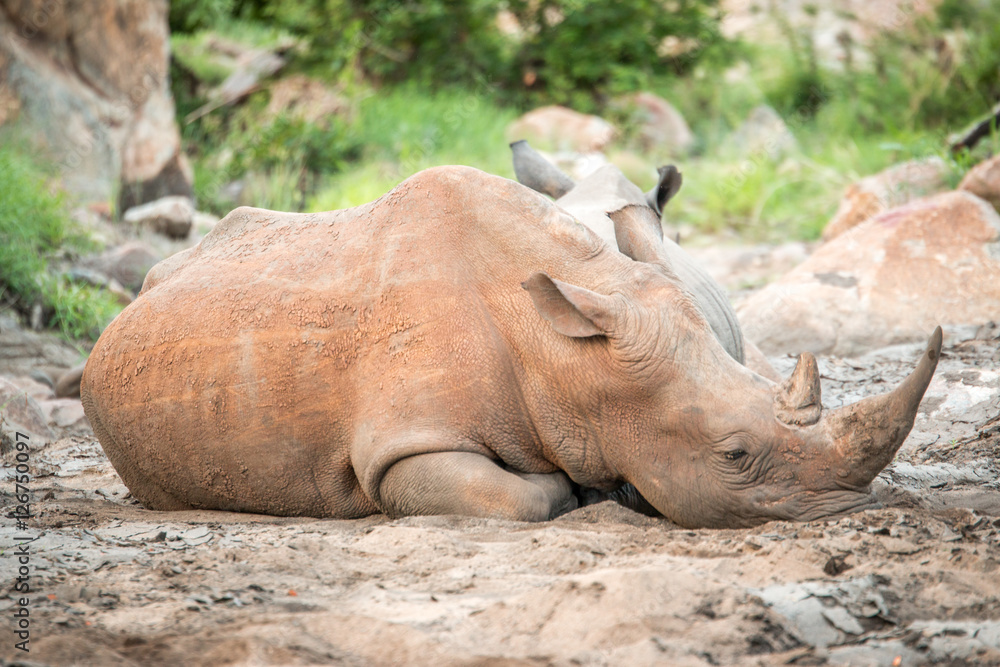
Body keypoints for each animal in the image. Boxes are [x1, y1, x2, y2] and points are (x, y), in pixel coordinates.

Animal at [81, 164, 941, 528]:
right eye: (733, 454)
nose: (856, 509)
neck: (568, 354)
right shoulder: (400, 447)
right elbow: (518, 496)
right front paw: (575, 492)